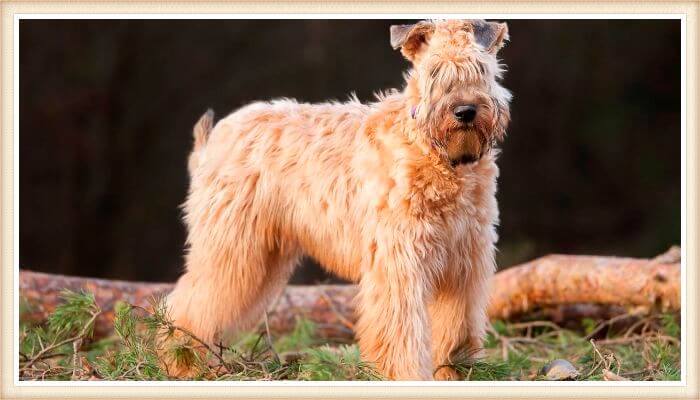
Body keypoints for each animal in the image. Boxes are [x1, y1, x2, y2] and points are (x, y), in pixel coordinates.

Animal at [166, 19, 512, 382]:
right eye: (434, 71)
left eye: (481, 69)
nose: (465, 111)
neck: (437, 157)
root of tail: (215, 136)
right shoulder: (400, 262)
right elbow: (400, 330)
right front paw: (406, 375)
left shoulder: (464, 265)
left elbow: (457, 331)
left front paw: (456, 374)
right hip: (231, 248)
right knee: (188, 304)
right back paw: (182, 362)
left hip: (261, 258)